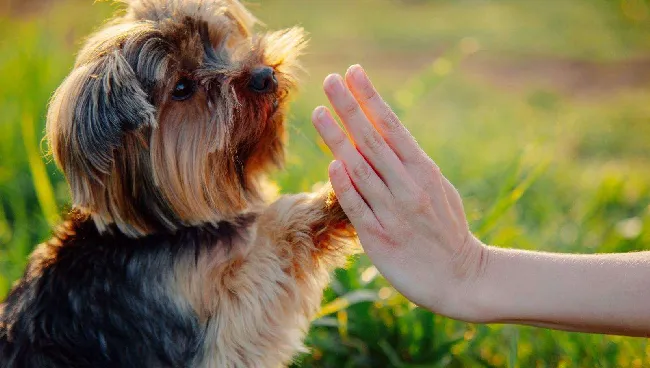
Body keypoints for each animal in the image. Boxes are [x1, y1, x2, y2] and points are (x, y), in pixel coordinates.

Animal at [0, 1, 354, 366]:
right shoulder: (216, 330)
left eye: (218, 42)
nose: (264, 76)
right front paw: (332, 199)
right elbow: (266, 261)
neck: (166, 227)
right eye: (181, 88)